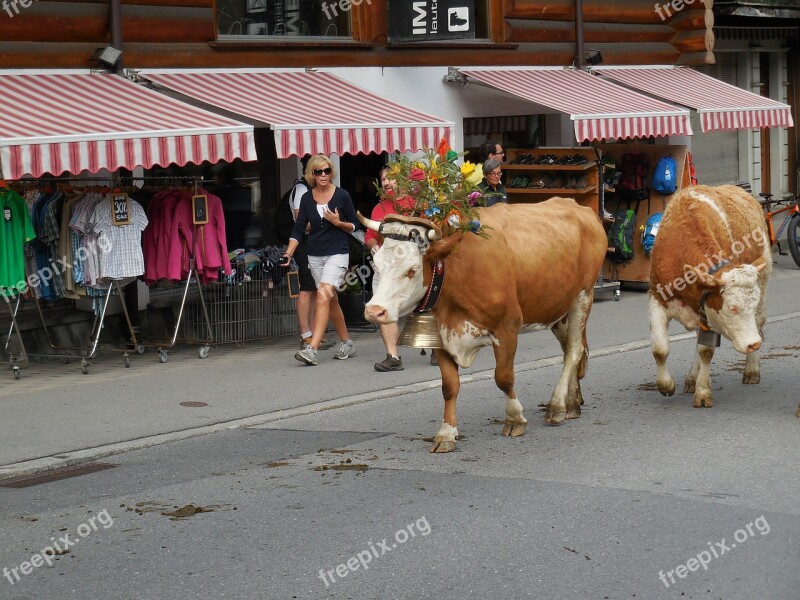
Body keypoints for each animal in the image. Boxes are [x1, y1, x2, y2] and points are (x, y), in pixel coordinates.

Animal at [358, 144, 608, 450]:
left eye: (412, 270)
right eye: (377, 263)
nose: (374, 311)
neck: (455, 269)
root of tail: (578, 208)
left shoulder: (508, 326)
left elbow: (503, 378)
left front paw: (514, 419)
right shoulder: (440, 333)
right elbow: (449, 386)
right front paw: (446, 433)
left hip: (582, 297)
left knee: (573, 350)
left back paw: (557, 406)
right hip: (556, 305)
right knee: (573, 350)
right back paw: (572, 403)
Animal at [648, 184, 772, 408]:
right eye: (732, 307)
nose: (754, 343)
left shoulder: (709, 310)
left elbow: (706, 351)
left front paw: (703, 391)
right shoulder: (657, 299)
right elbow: (660, 349)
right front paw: (666, 386)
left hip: (764, 276)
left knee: (759, 321)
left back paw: (751, 370)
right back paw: (691, 378)